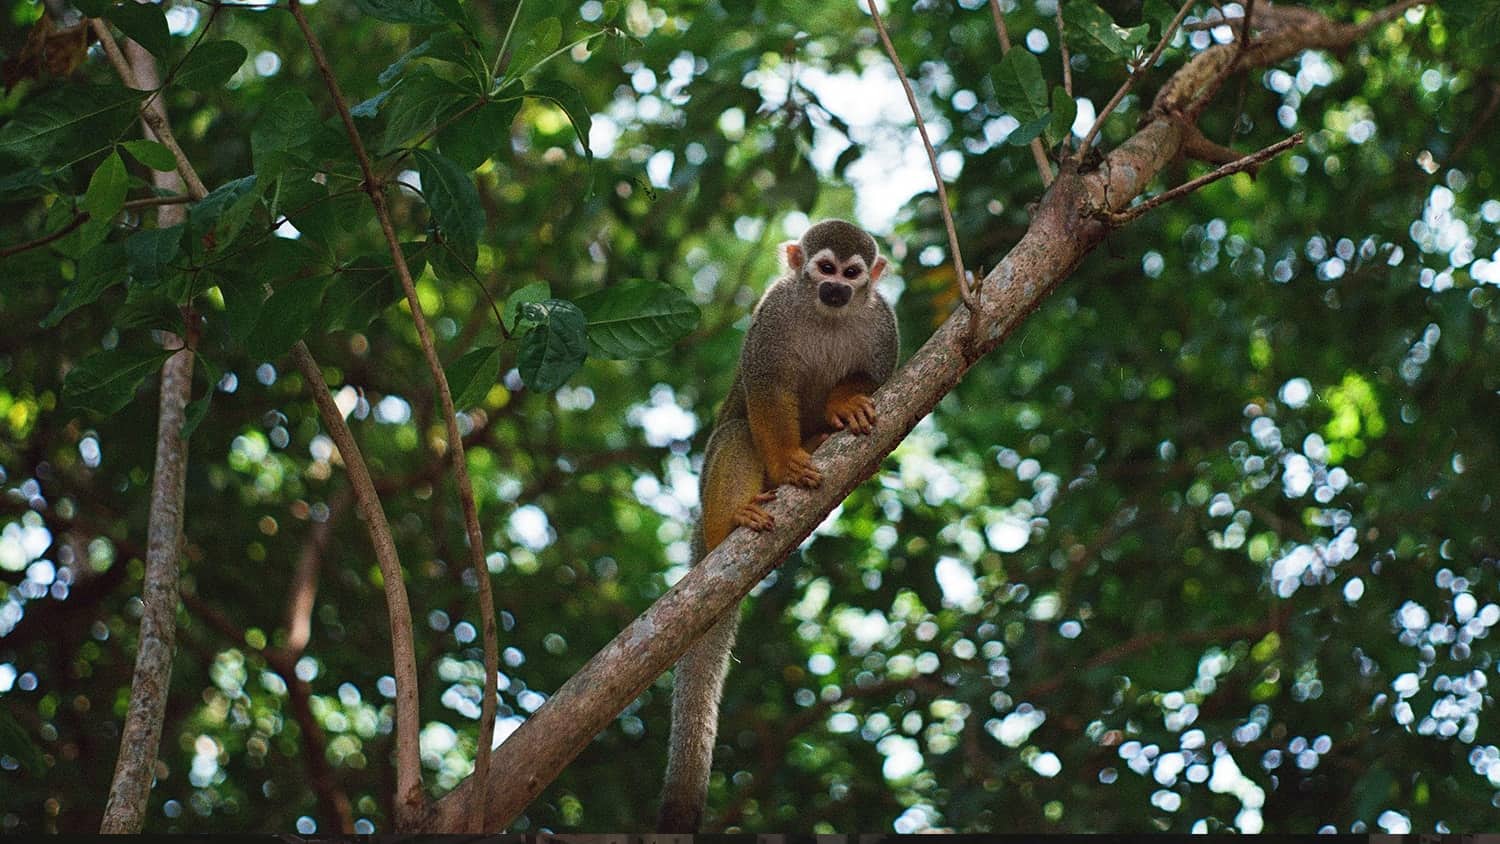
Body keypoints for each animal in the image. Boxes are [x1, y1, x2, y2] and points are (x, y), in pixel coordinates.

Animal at [657, 219, 899, 832]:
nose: (836, 290)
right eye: (823, 268)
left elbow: (873, 375)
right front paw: (789, 459)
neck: (826, 316)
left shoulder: (883, 322)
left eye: (853, 274)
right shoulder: (774, 312)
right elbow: (766, 387)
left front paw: (846, 402)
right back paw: (733, 520)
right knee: (738, 430)